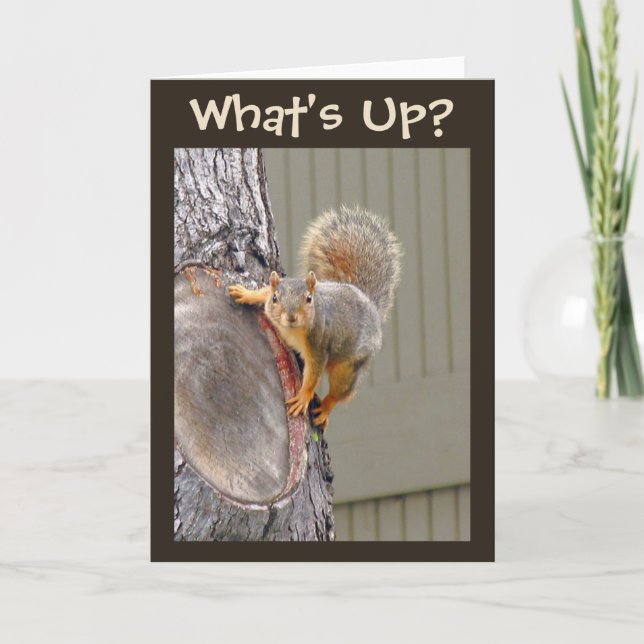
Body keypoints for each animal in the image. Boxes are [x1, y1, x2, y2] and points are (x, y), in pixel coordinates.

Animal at [228, 206, 402, 431]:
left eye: (309, 299)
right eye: (275, 298)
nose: (291, 316)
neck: (291, 330)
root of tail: (370, 306)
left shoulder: (318, 345)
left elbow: (313, 376)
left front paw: (303, 397)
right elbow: (263, 291)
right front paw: (246, 293)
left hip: (349, 367)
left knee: (340, 393)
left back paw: (325, 408)